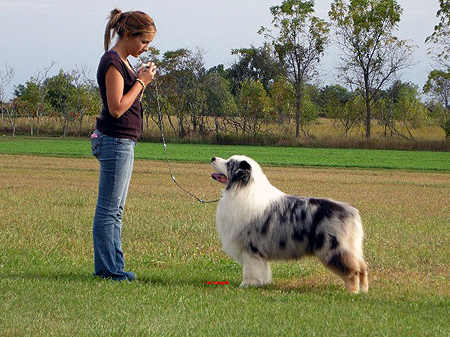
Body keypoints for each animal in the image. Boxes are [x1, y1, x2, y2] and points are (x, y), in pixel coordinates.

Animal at [211, 155, 370, 292]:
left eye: (229, 164)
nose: (213, 158)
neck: (242, 190)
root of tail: (352, 211)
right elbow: (262, 270)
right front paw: (261, 283)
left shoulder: (251, 249)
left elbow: (250, 270)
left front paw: (247, 285)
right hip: (351, 247)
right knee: (362, 267)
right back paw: (364, 290)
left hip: (334, 248)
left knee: (352, 271)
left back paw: (352, 292)